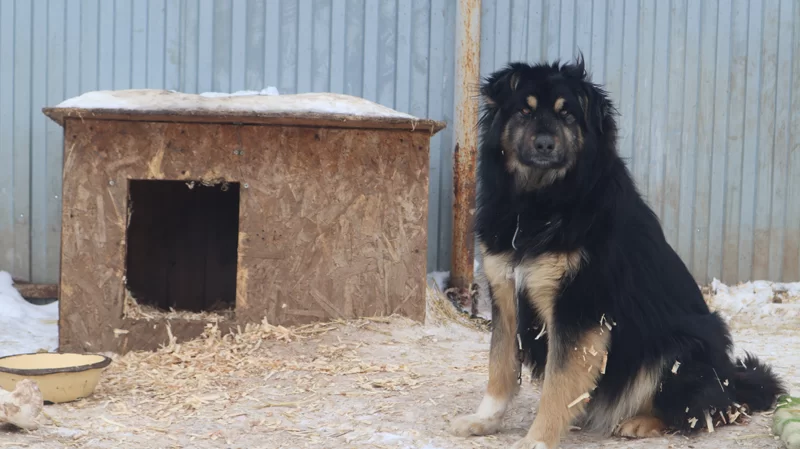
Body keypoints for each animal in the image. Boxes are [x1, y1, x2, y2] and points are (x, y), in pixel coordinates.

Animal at [454, 57, 784, 448]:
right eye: (525, 110)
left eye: (567, 115)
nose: (545, 144)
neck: (540, 202)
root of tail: (734, 380)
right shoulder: (505, 294)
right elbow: (500, 366)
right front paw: (485, 419)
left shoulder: (579, 310)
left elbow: (557, 385)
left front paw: (538, 439)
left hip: (680, 346)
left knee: (706, 409)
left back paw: (640, 422)